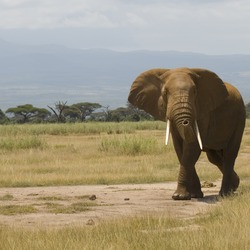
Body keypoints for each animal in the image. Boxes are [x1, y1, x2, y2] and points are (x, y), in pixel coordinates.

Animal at [128, 67, 245, 200]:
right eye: (165, 93)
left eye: (194, 91)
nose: (185, 122)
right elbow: (180, 148)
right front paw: (193, 195)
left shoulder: (203, 112)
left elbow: (191, 148)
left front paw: (179, 196)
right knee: (214, 158)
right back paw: (234, 185)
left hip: (240, 118)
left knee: (230, 154)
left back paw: (225, 194)